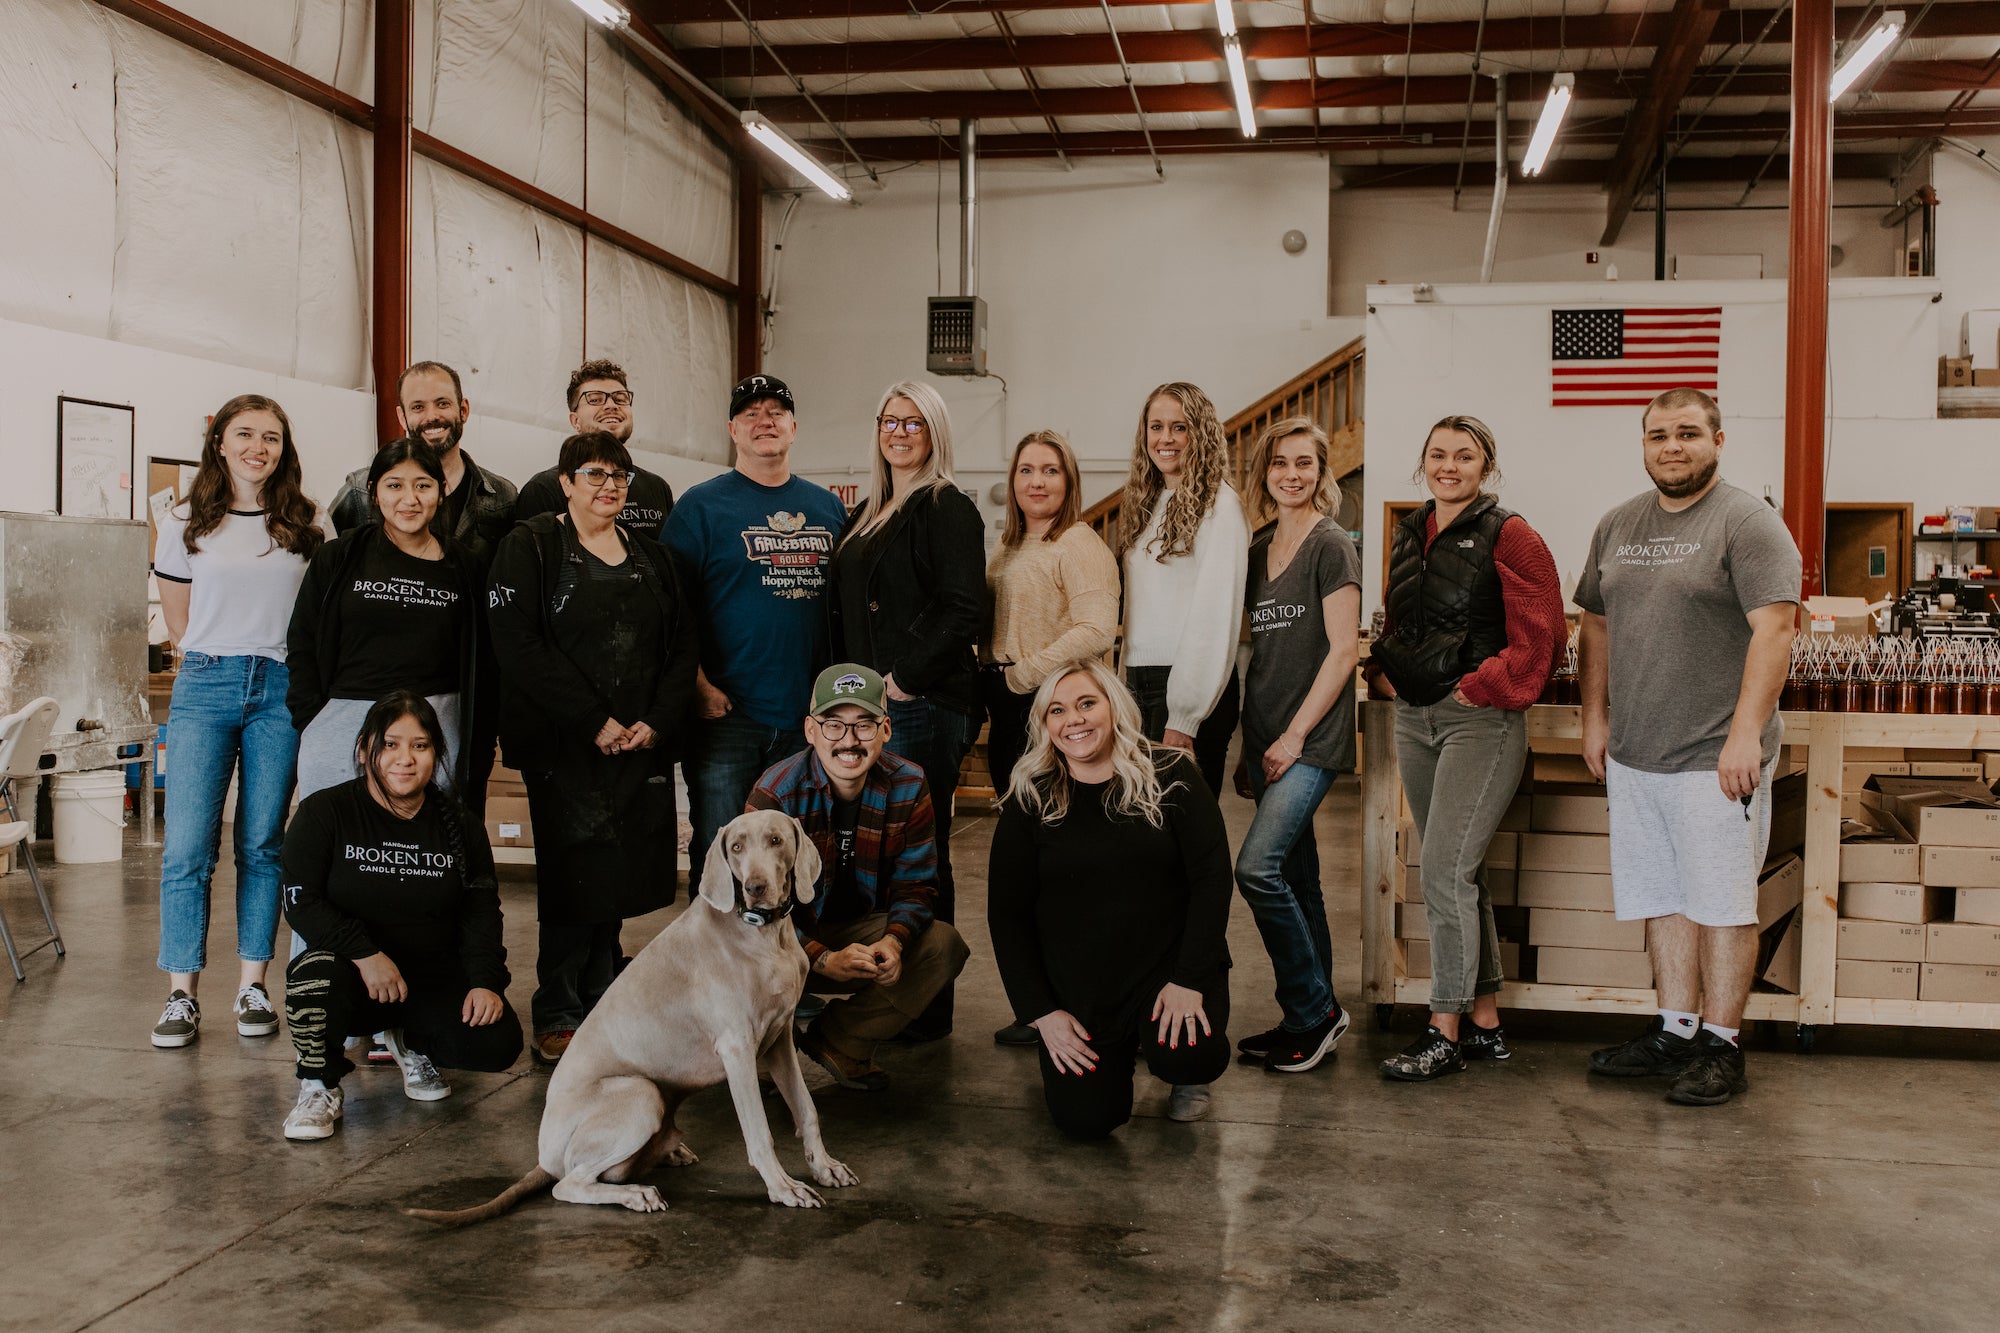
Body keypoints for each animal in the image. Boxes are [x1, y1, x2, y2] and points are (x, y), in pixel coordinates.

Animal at [406, 800, 860, 1224]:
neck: (764, 934)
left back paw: (668, 1154)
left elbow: (806, 1108)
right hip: (641, 1093)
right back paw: (636, 1194)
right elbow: (759, 1131)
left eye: (776, 840)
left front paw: (825, 1166)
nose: (755, 887)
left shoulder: (779, 1037)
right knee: (568, 1184)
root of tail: (543, 1157)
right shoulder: (737, 1049)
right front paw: (783, 1188)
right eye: (735, 847)